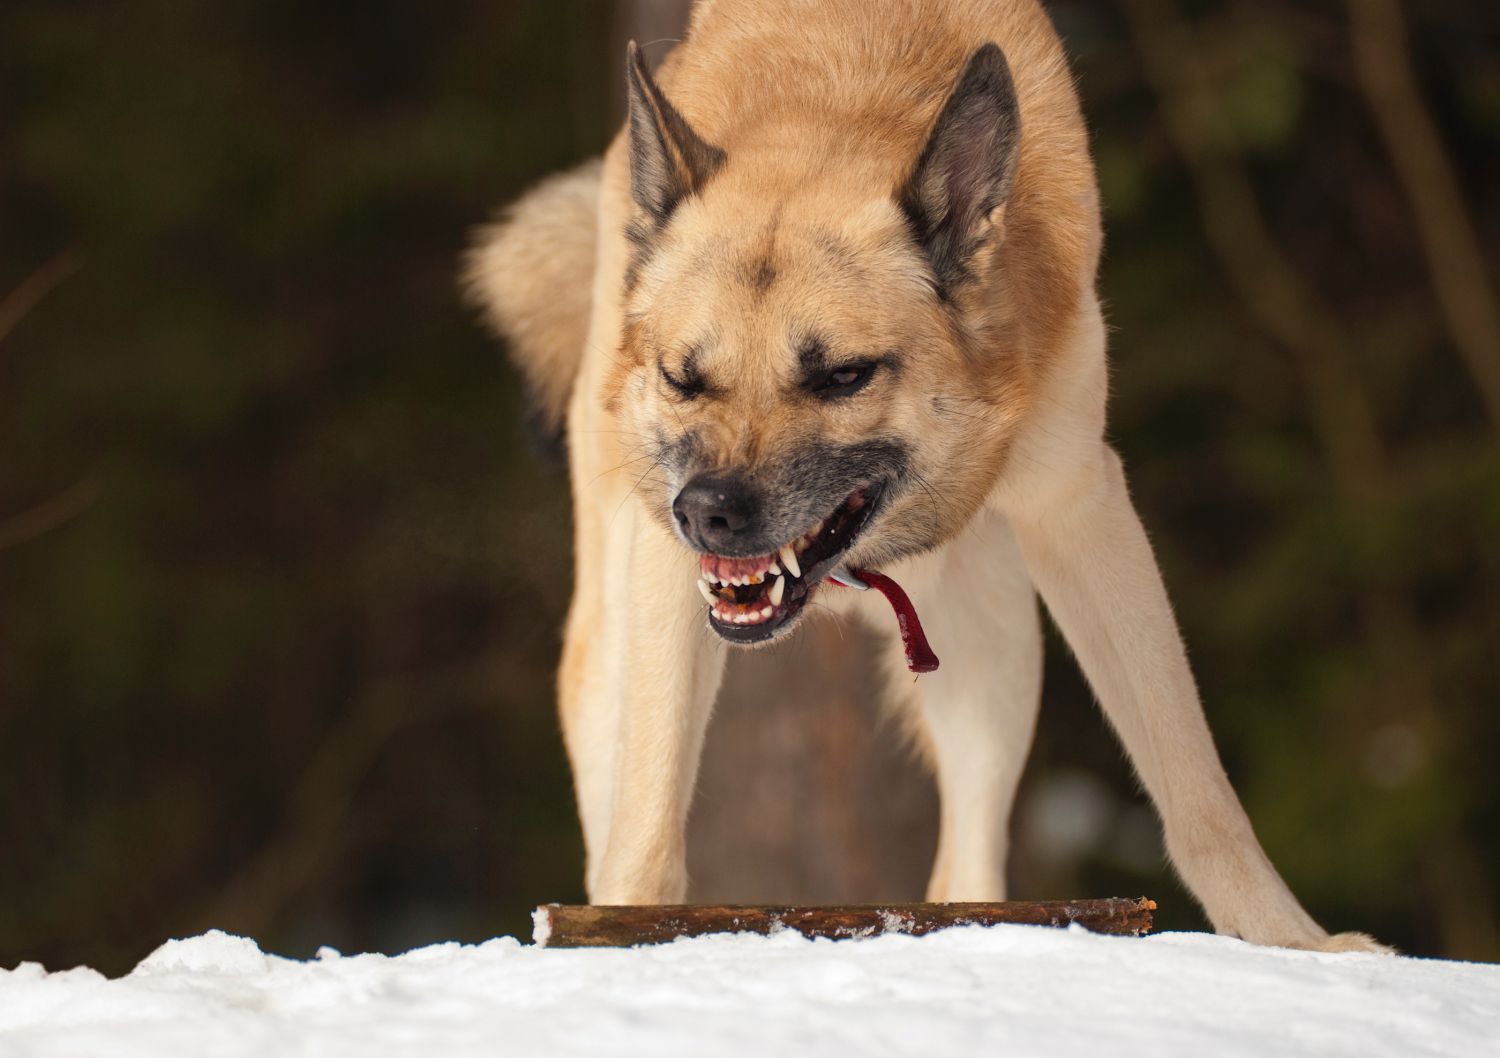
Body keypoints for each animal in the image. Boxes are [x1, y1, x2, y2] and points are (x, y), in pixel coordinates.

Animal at [465, 0, 1380, 954]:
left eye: (841, 376)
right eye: (686, 377)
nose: (707, 513)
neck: (839, 88)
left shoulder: (1080, 508)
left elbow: (1196, 784)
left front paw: (1295, 946)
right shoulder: (665, 580)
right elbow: (646, 820)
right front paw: (628, 931)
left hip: (996, 642)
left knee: (963, 867)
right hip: (610, 648)